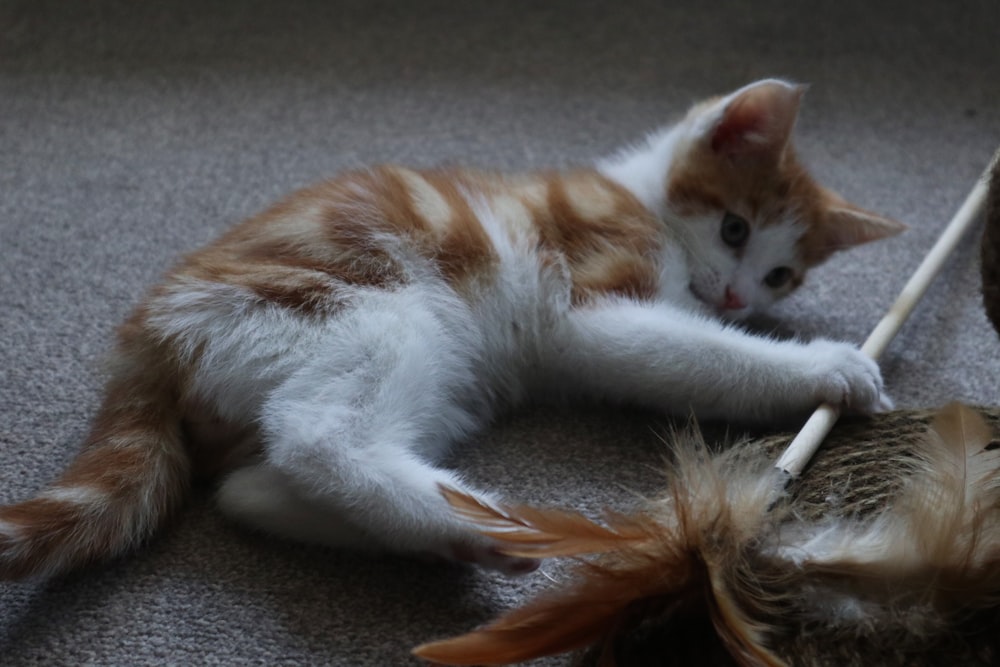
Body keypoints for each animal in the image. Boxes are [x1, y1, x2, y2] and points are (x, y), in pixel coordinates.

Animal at [0, 79, 908, 580]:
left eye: (783, 274)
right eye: (734, 228)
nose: (738, 293)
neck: (642, 198)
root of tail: (146, 336)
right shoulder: (591, 298)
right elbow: (697, 354)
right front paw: (826, 367)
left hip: (433, 379)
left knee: (247, 488)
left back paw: (440, 529)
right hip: (370, 309)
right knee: (315, 436)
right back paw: (464, 522)